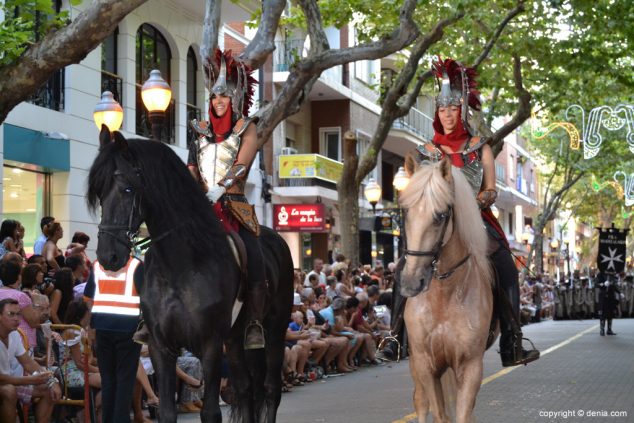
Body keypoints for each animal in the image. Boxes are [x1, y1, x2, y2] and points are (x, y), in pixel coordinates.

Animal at [87, 127, 294, 422]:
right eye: (100, 192)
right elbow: (166, 412)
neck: (180, 266)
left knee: (269, 389)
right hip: (236, 339)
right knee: (246, 388)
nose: (108, 256)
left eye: (127, 189)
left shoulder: (210, 345)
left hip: (274, 330)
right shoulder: (162, 346)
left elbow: (210, 413)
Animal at [398, 159, 496, 423]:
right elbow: (439, 414)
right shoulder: (426, 364)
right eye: (406, 213)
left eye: (440, 216)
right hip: (415, 363)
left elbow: (463, 414)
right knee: (420, 402)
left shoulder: (471, 365)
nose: (411, 283)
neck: (444, 296)